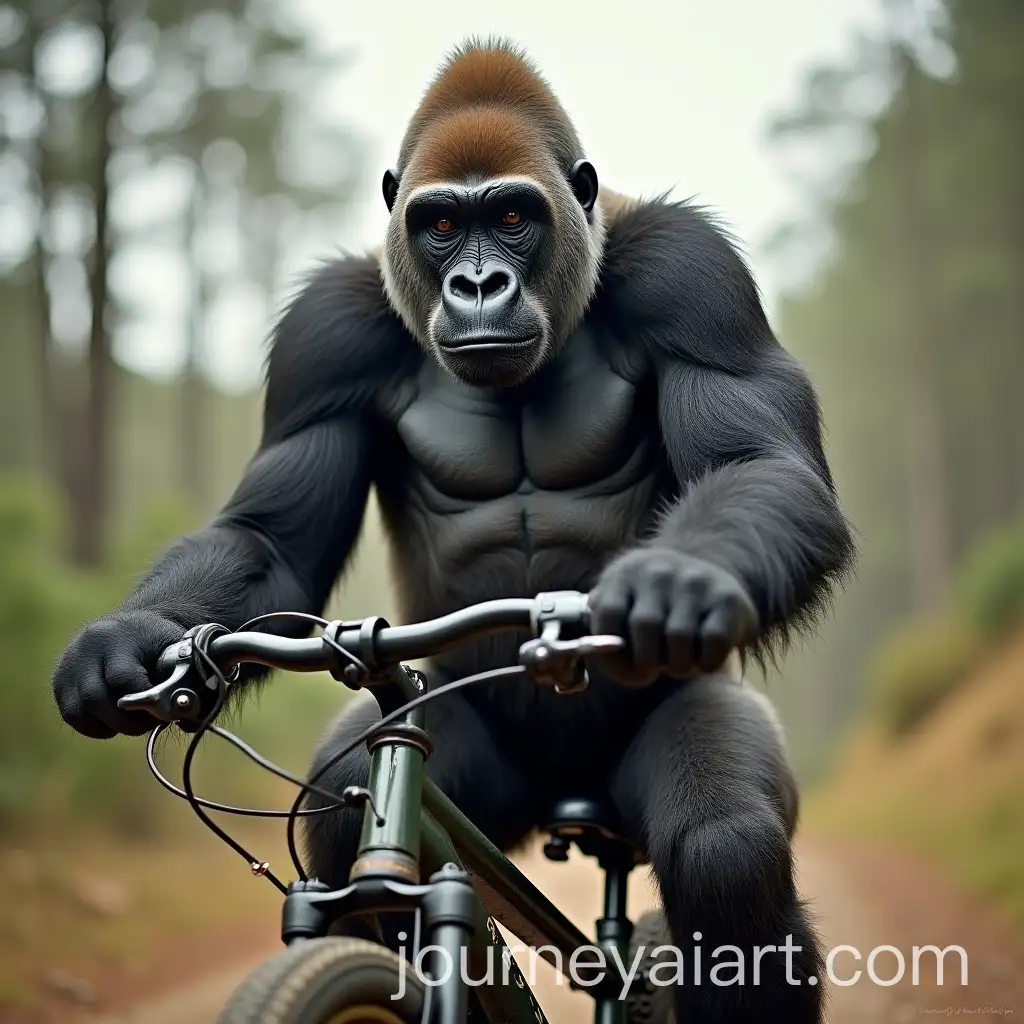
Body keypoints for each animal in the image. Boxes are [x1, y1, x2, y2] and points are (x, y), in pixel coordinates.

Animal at [51, 39, 854, 1024]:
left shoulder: (692, 275)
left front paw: (681, 585)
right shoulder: (329, 328)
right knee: (342, 812)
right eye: (440, 226)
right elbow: (271, 541)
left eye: (511, 217)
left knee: (726, 852)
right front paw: (121, 645)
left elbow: (756, 461)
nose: (478, 283)